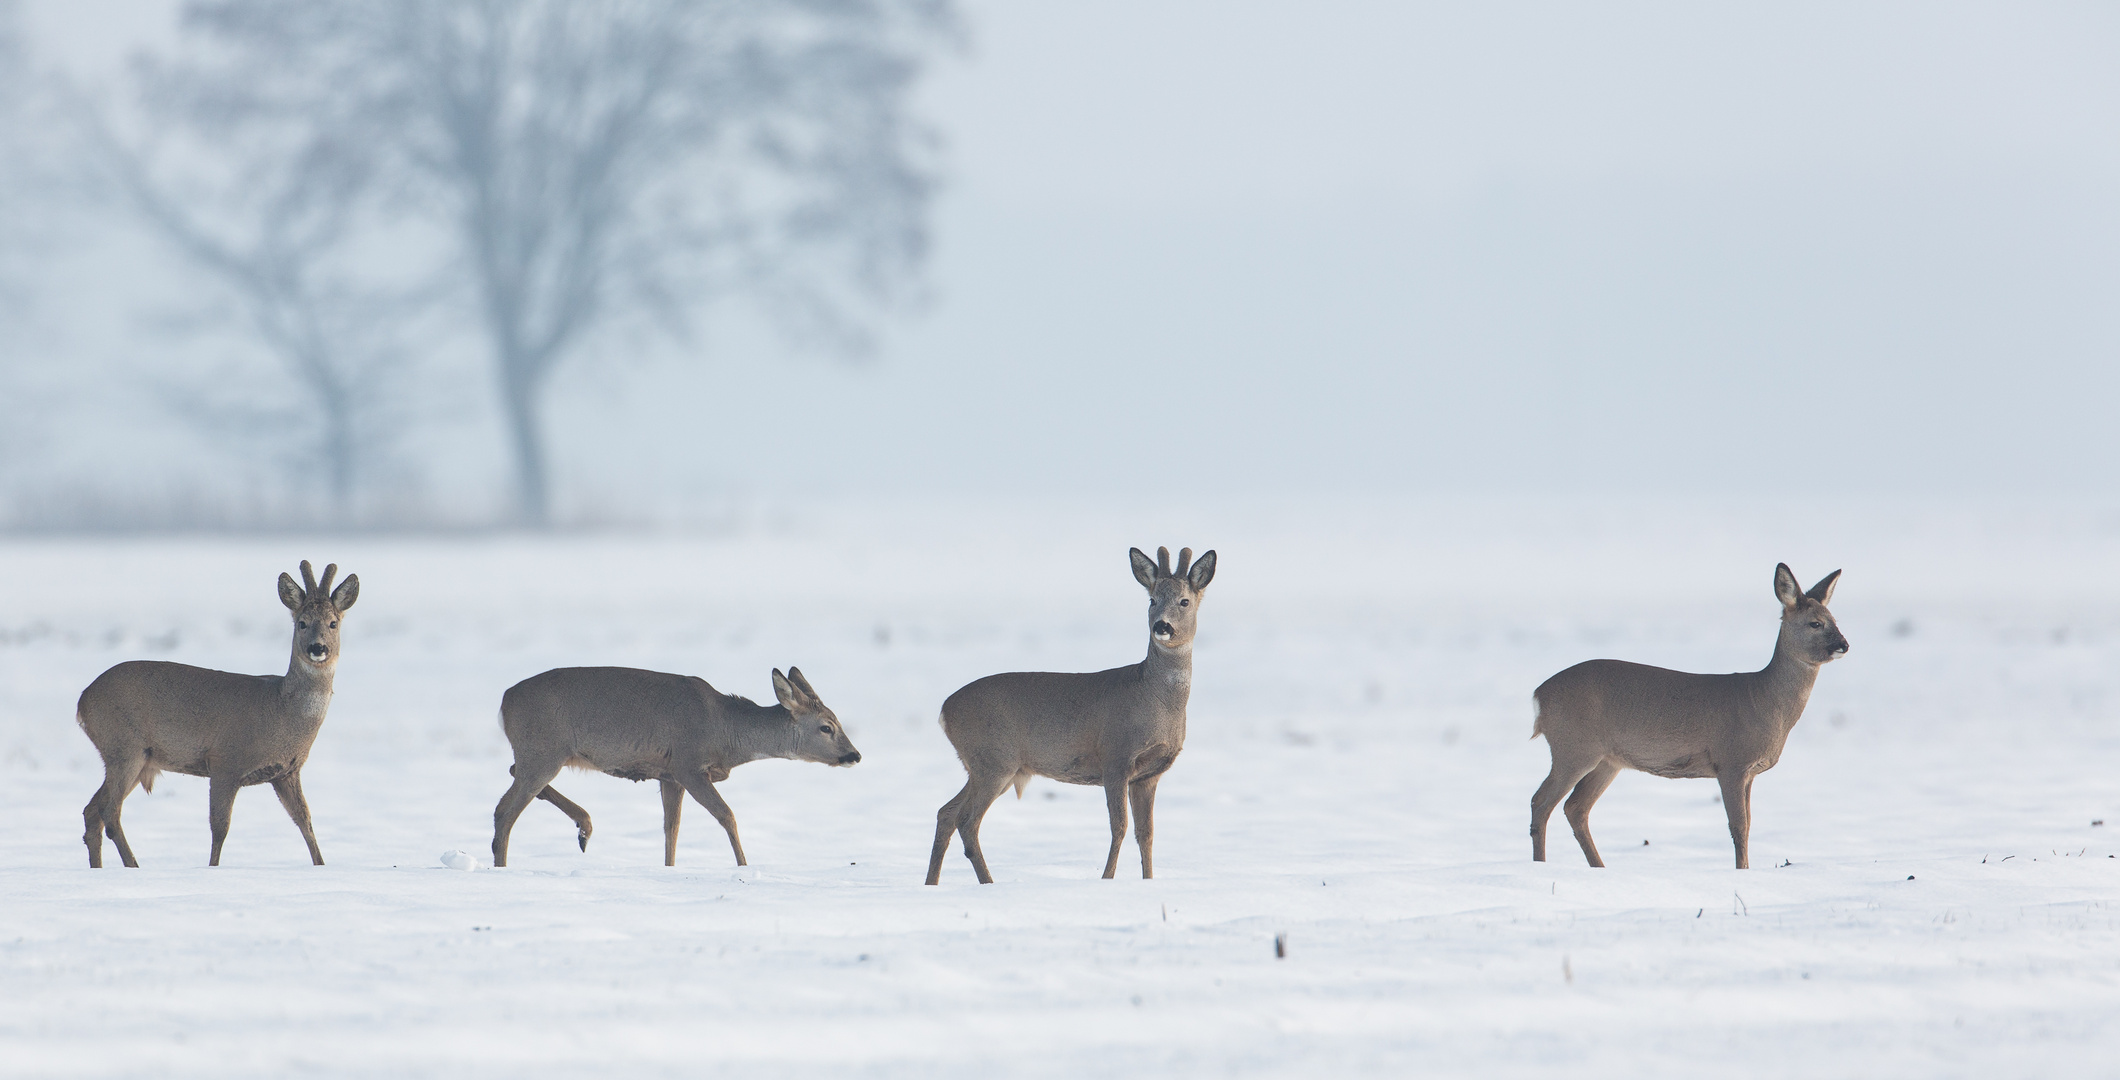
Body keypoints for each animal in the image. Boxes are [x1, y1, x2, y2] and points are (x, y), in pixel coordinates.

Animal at [78, 560, 360, 861]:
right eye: (302, 622)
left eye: (333, 622)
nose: (318, 647)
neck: (281, 709)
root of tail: (82, 700)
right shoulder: (226, 761)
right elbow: (220, 828)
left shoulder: (287, 773)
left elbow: (305, 822)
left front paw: (321, 865)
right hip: (124, 747)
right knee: (109, 811)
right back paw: (134, 865)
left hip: (137, 758)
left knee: (92, 811)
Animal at [487, 666, 860, 865]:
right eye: (826, 727)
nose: (854, 755)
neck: (725, 730)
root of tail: (504, 701)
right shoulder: (688, 764)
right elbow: (727, 815)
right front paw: (744, 866)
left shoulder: (668, 775)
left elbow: (672, 828)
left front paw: (669, 869)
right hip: (543, 751)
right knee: (506, 812)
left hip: (541, 754)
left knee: (507, 786)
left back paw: (584, 827)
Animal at [924, 543, 1221, 878]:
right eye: (1152, 600)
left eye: (1184, 601)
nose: (1162, 626)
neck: (1156, 700)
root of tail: (944, 710)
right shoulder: (1116, 757)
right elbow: (1119, 826)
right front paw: (1106, 878)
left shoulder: (1149, 775)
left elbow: (1146, 833)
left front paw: (1148, 881)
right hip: (994, 761)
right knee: (967, 821)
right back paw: (987, 881)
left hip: (984, 765)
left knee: (946, 812)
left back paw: (932, 883)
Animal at [1534, 564, 1848, 865]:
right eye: (1815, 623)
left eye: (1835, 619)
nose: (1844, 645)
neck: (1763, 699)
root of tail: (1539, 695)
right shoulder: (1731, 762)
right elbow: (1739, 827)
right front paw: (1741, 870)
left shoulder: (1749, 772)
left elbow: (1748, 825)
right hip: (1573, 748)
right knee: (1541, 802)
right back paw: (1541, 864)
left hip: (1607, 761)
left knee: (1575, 807)